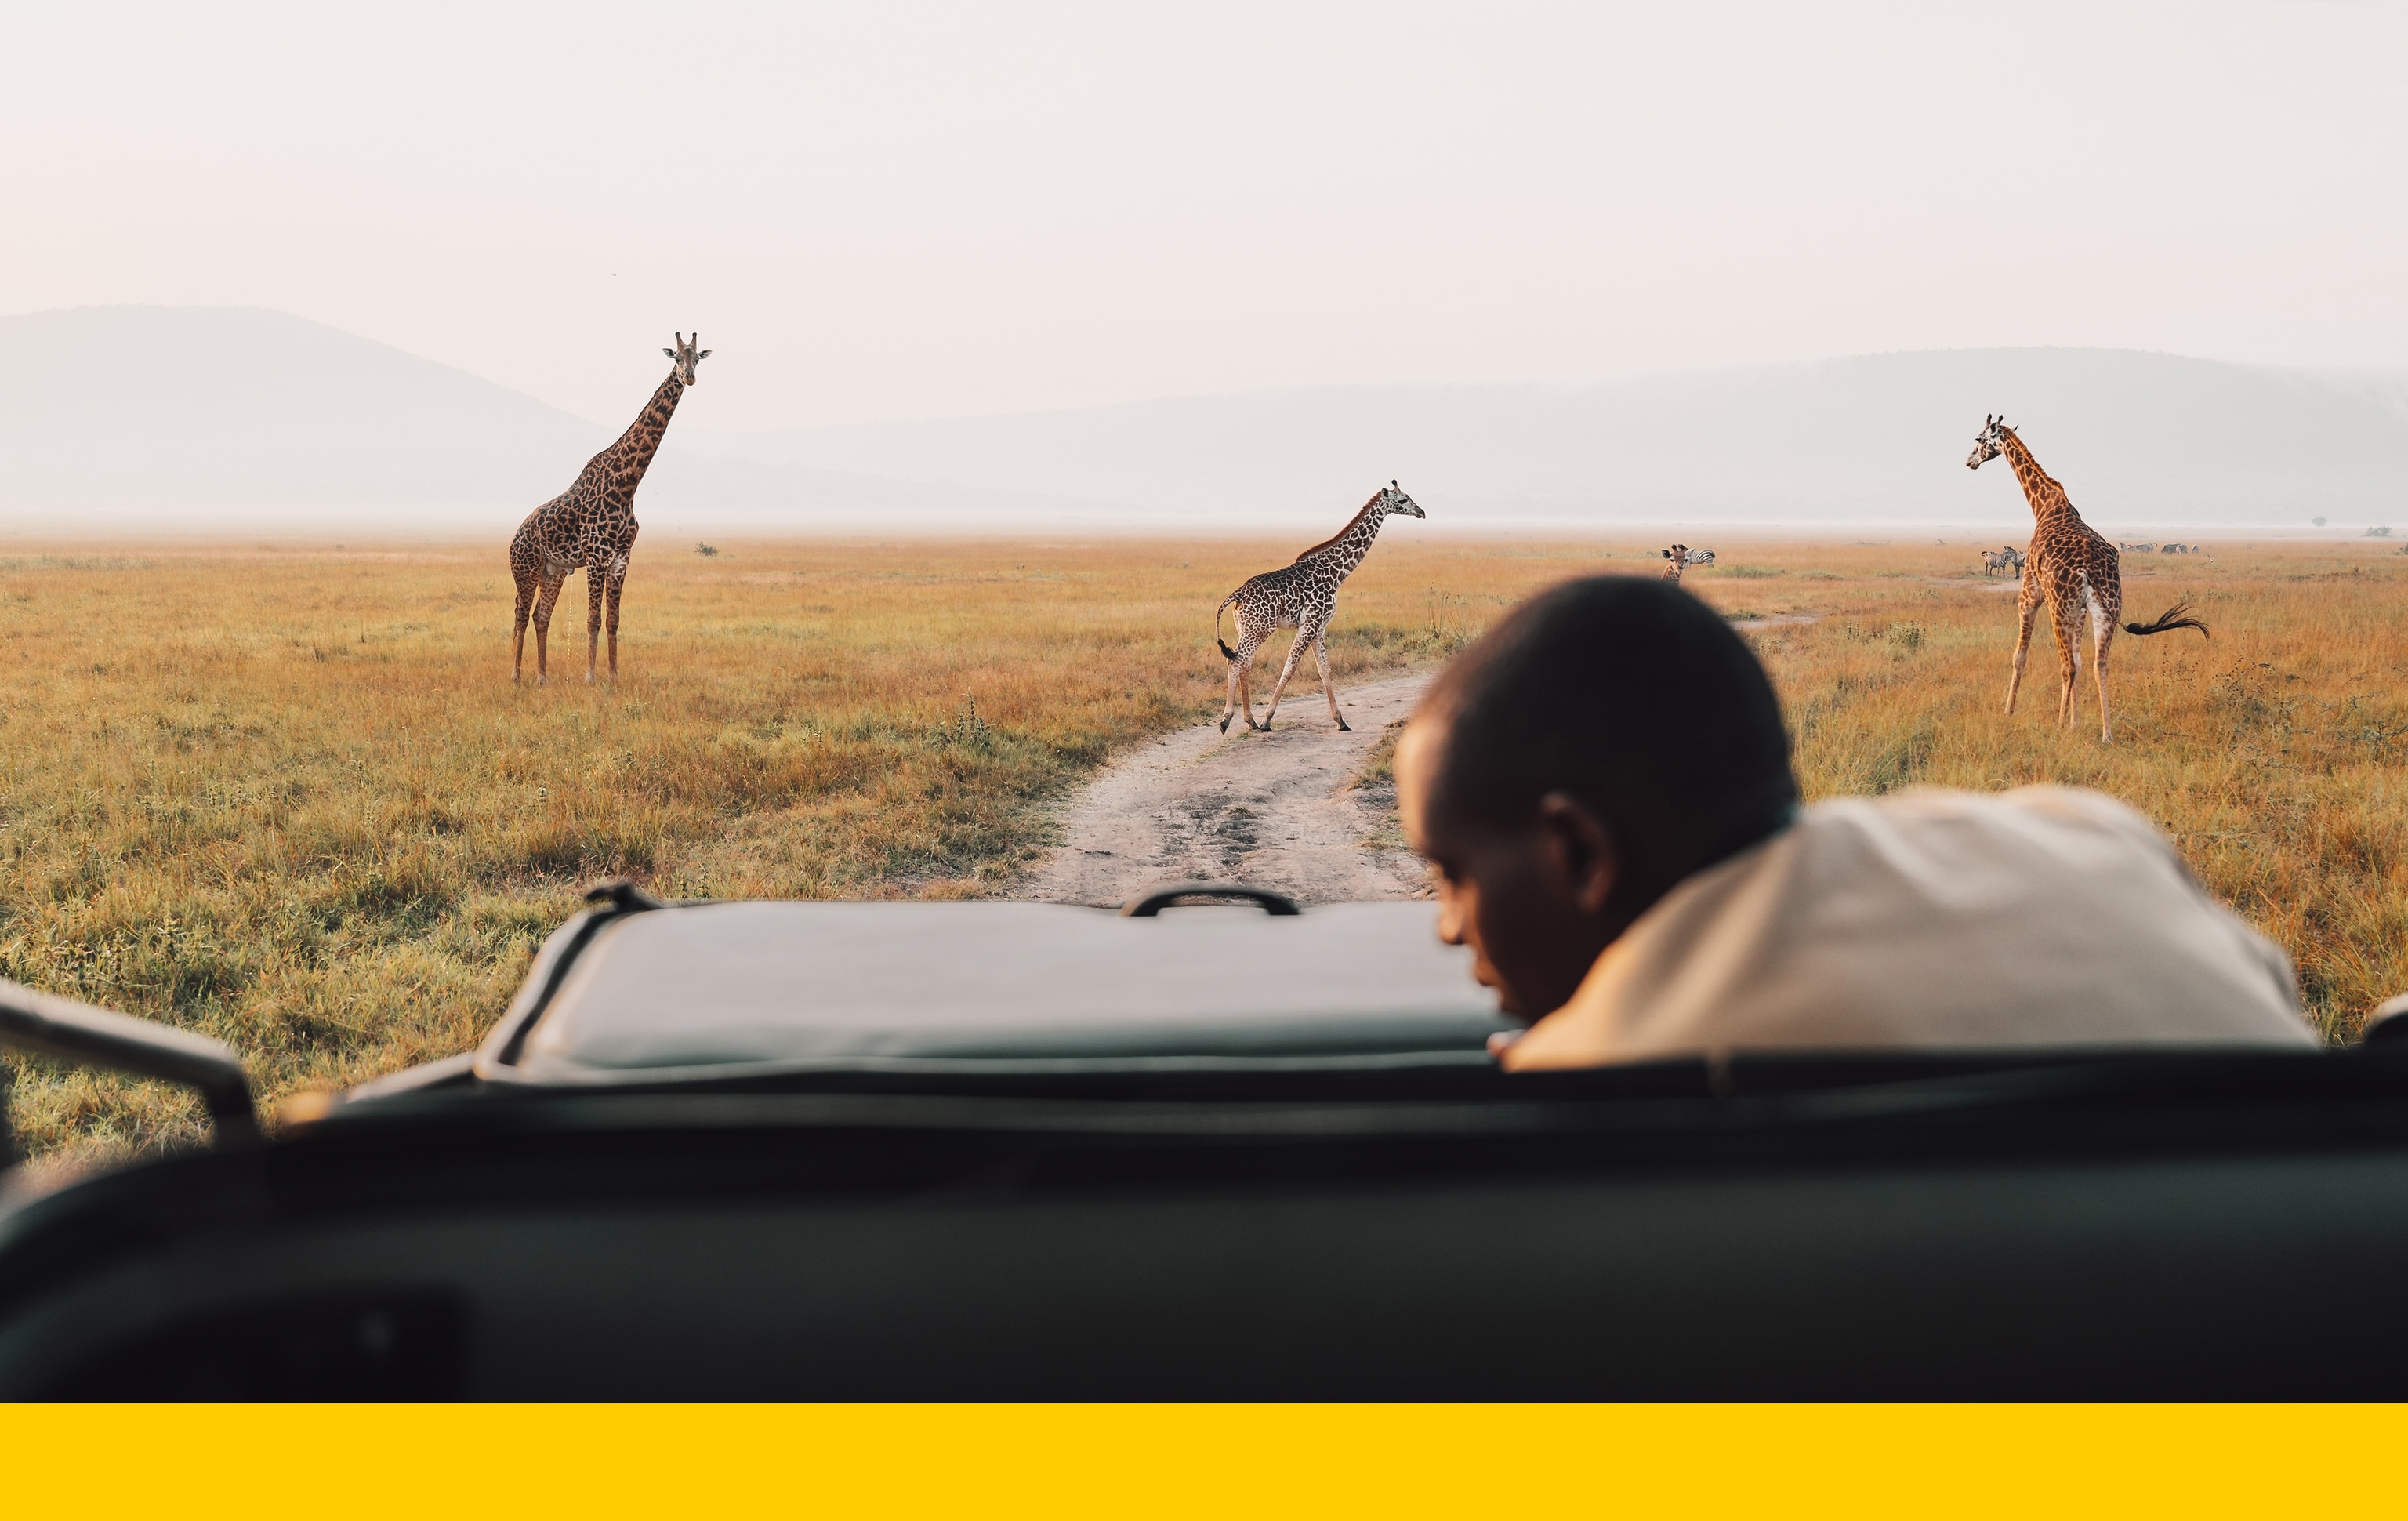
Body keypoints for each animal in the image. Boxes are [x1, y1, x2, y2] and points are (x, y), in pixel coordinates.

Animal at [510, 333, 709, 685]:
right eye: (676, 359)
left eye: (697, 358)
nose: (689, 377)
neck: (627, 486)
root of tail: (512, 541)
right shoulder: (596, 557)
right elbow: (593, 619)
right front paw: (590, 677)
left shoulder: (620, 559)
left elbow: (614, 620)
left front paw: (614, 677)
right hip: (526, 569)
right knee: (520, 614)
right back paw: (517, 677)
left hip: (553, 571)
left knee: (540, 616)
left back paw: (543, 678)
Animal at [1213, 482, 1427, 733]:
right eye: (1403, 500)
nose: (1421, 512)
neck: (1337, 572)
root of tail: (1236, 596)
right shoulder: (1311, 623)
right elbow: (1290, 667)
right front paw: (1267, 719)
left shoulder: (1320, 626)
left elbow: (1324, 669)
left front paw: (1341, 720)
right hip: (1260, 629)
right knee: (1235, 660)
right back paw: (1227, 720)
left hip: (1248, 629)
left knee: (1244, 663)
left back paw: (1250, 720)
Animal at [1967, 415, 2207, 742]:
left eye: (1979, 439)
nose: (1969, 461)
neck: (2044, 505)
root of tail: (2091, 568)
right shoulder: (2080, 609)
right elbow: (2081, 662)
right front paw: (2075, 721)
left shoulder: (2030, 593)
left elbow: (2020, 655)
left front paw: (2010, 712)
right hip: (2105, 608)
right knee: (2099, 663)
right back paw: (2106, 734)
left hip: (2059, 607)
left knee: (2066, 664)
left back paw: (2059, 724)